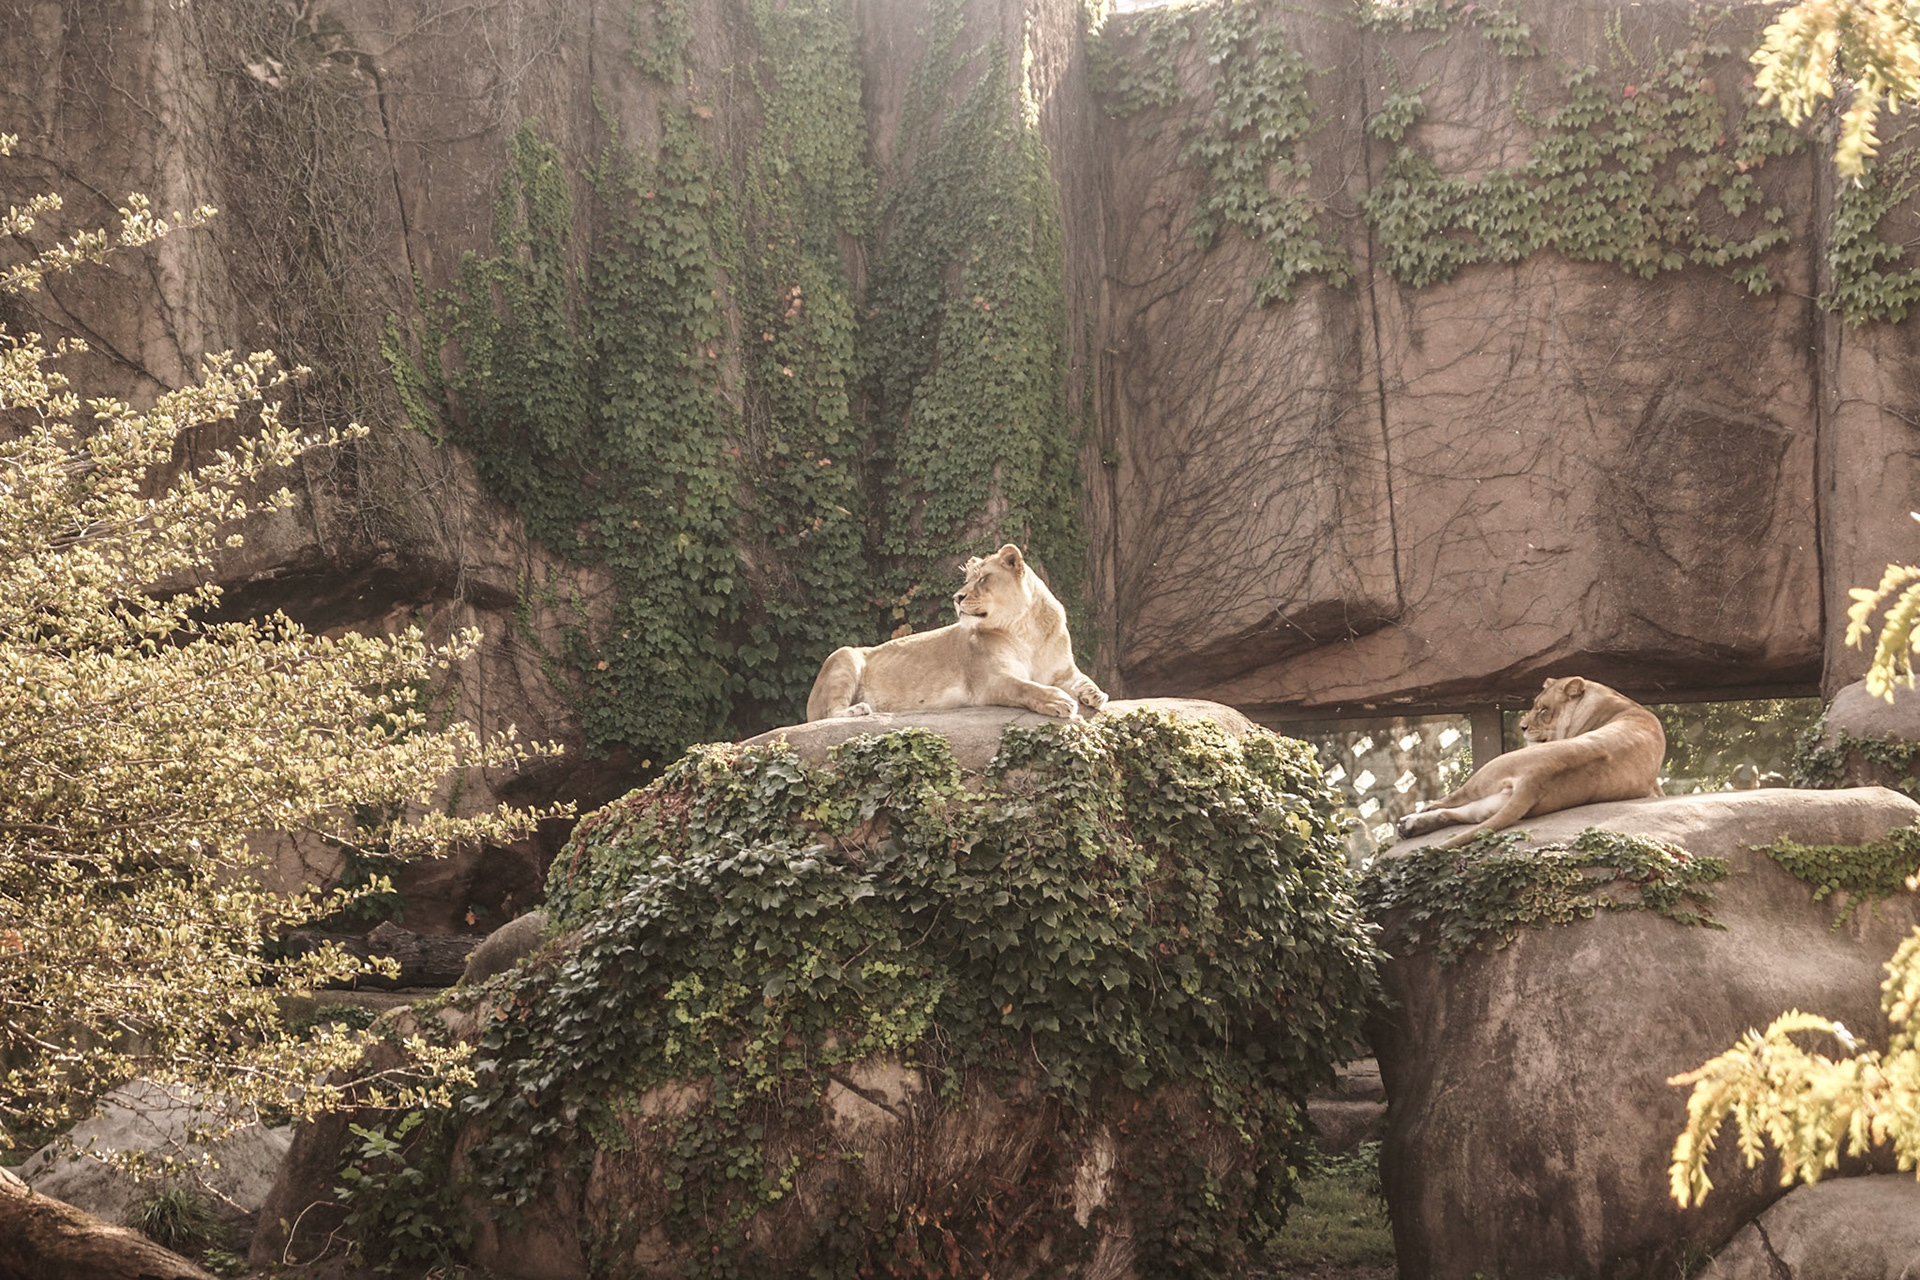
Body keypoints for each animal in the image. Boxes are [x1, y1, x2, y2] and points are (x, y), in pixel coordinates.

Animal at [805, 544, 1107, 722]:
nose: (956, 597)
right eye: (967, 580)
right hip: (844, 655)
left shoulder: (1062, 671)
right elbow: (1026, 687)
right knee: (830, 713)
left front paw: (1095, 694)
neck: (1025, 629)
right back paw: (858, 710)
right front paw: (1057, 700)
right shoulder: (991, 681)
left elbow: (1082, 679)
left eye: (983, 579)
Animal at [1395, 676, 1666, 850]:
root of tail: (1536, 777)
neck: (1615, 701)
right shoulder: (1655, 789)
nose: (1522, 727)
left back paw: (1410, 821)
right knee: (1464, 814)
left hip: (1488, 771)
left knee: (1449, 803)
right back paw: (1409, 827)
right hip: (1498, 802)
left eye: (1543, 709)